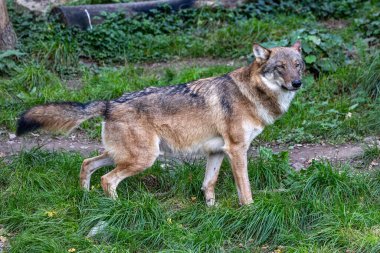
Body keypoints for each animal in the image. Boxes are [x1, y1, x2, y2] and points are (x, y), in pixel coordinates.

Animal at [16, 41, 304, 207]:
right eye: (280, 67)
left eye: (298, 65)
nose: (297, 83)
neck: (252, 94)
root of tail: (109, 103)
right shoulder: (237, 150)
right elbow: (245, 188)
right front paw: (249, 210)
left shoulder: (217, 152)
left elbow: (208, 184)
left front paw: (211, 211)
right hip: (143, 159)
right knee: (108, 180)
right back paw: (118, 208)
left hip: (124, 155)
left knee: (87, 164)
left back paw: (86, 199)